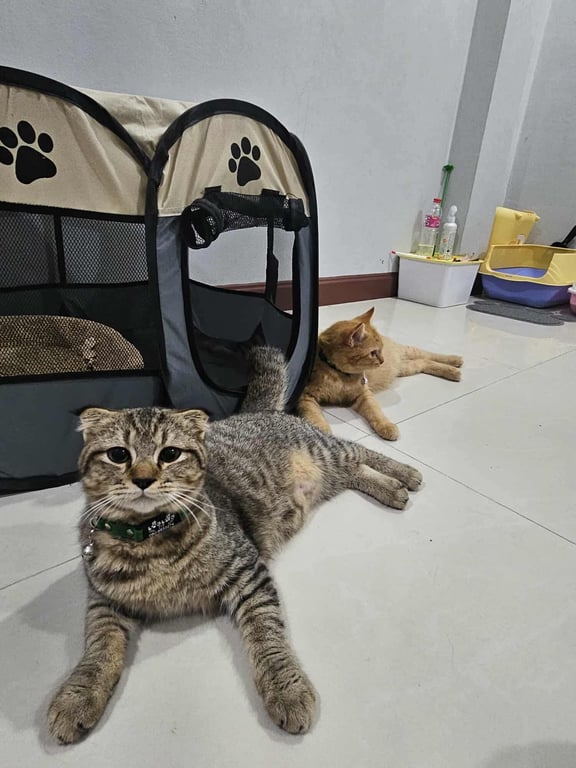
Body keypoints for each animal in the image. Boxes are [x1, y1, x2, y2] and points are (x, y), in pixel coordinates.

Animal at [47, 346, 423, 744]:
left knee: (361, 453)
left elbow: (267, 635)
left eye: (170, 454)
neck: (151, 539)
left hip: (325, 451)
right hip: (327, 473)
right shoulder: (104, 602)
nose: (144, 479)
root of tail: (257, 411)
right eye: (118, 455)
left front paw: (286, 689)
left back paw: (405, 474)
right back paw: (392, 489)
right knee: (354, 471)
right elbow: (97, 647)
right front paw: (77, 696)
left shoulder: (249, 572)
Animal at [298, 307, 463, 441]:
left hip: (406, 352)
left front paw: (387, 426)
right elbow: (314, 416)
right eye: (373, 353)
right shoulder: (306, 397)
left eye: (380, 349)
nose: (382, 360)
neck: (341, 376)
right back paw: (453, 370)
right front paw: (322, 431)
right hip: (405, 368)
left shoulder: (364, 395)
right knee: (424, 362)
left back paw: (455, 362)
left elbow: (375, 412)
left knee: (427, 354)